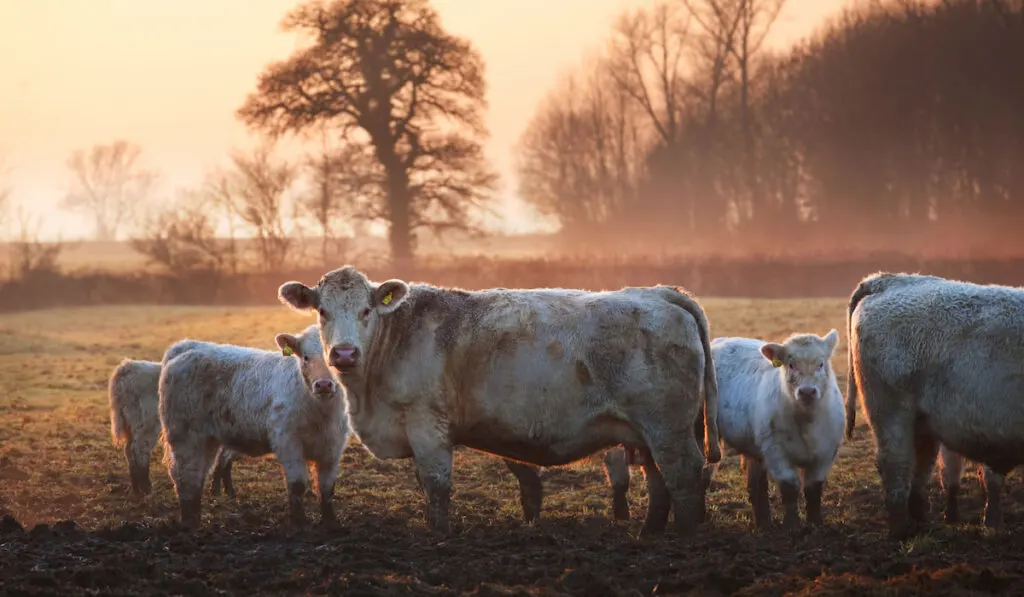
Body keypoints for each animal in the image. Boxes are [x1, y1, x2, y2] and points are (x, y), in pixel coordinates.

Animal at [276, 266, 716, 536]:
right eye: (322, 310)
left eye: (367, 310)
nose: (344, 353)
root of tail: (659, 293)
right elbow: (425, 485)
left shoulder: (427, 424)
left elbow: (437, 484)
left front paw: (439, 534)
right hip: (647, 432)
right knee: (659, 481)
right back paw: (649, 534)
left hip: (668, 428)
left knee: (683, 475)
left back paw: (684, 538)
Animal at [843, 272, 1024, 540]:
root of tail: (886, 280)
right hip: (891, 415)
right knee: (896, 465)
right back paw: (901, 530)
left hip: (922, 424)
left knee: (919, 468)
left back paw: (923, 523)